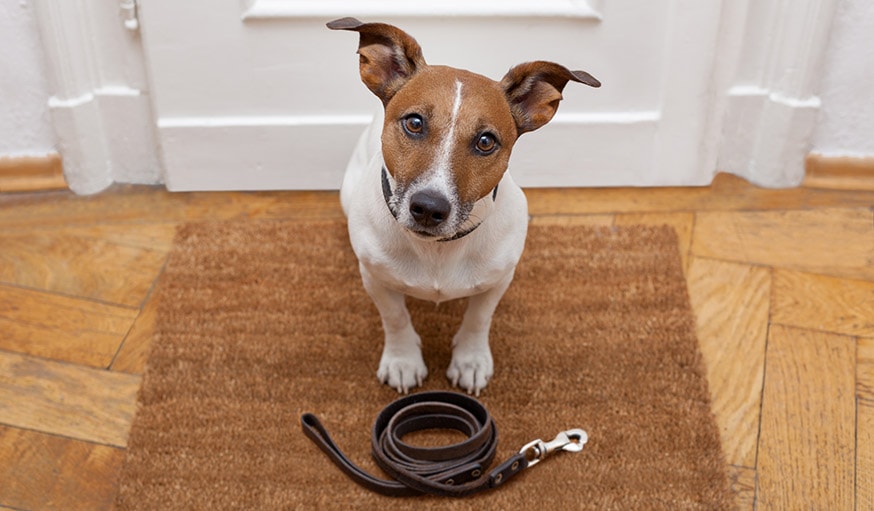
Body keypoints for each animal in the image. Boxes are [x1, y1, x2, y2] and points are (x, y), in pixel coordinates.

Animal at [328, 18, 600, 396]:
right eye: (414, 123)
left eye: (486, 141)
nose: (429, 208)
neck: (438, 250)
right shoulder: (375, 278)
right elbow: (395, 317)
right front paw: (402, 360)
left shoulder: (499, 279)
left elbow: (478, 318)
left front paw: (470, 361)